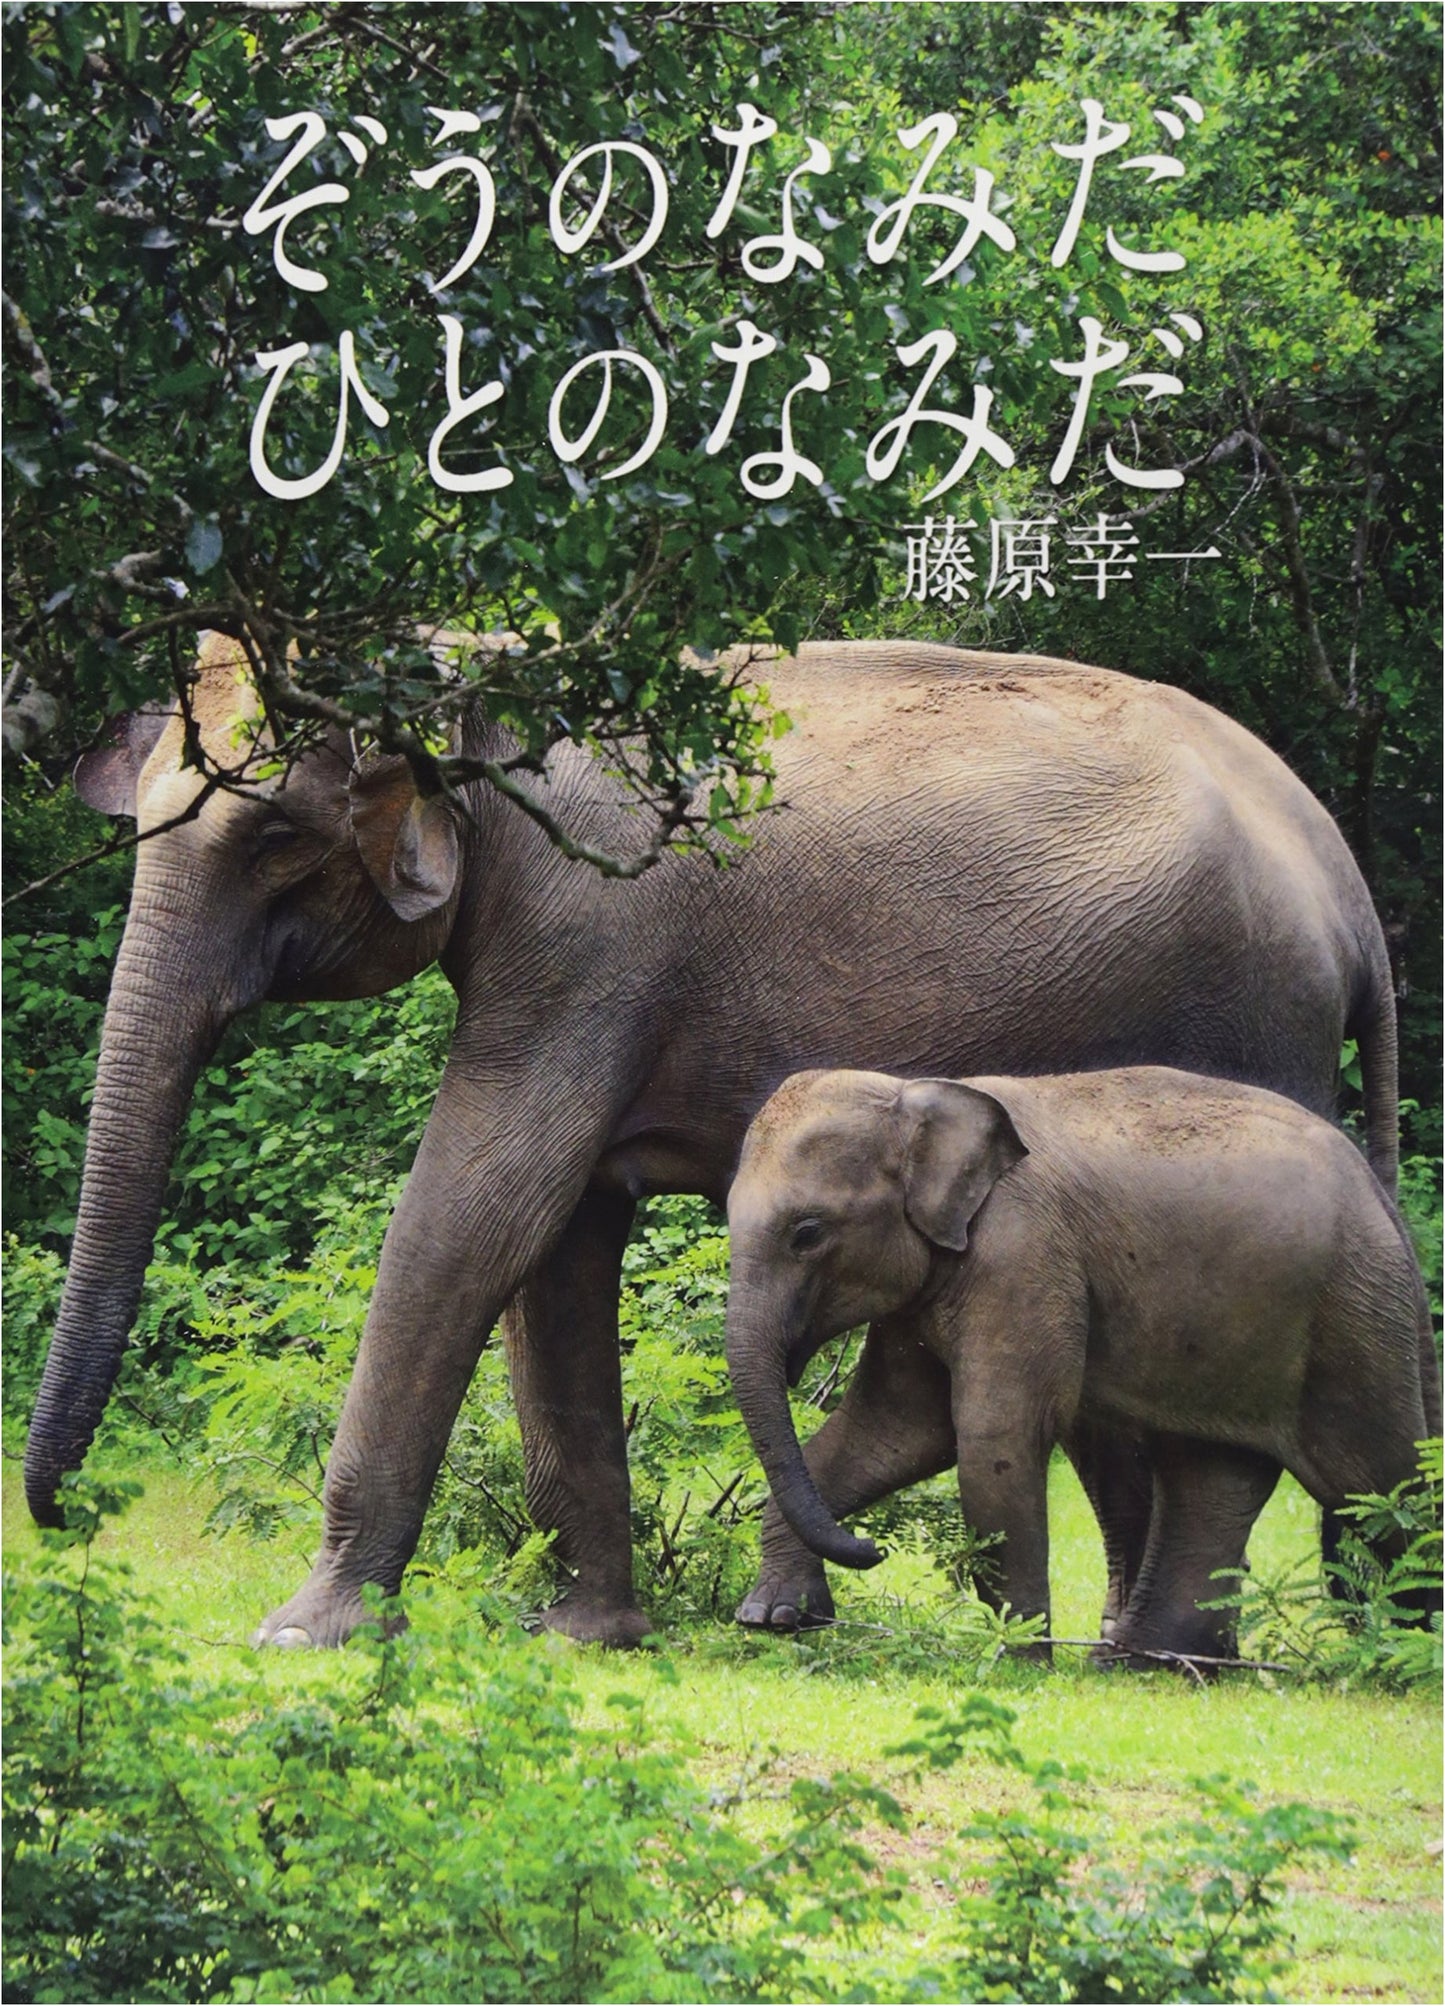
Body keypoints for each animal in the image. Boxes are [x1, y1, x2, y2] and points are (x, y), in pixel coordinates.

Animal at [724, 1066, 1439, 1662]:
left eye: (808, 1233)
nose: (872, 1551)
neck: (914, 1091)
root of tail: (1382, 1199)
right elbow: (894, 1433)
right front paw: (773, 1618)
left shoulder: (1024, 1253)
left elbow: (992, 1437)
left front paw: (1017, 1663)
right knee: (1215, 1474)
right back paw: (1155, 1665)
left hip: (1352, 1316)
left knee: (1381, 1480)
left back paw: (1405, 1654)